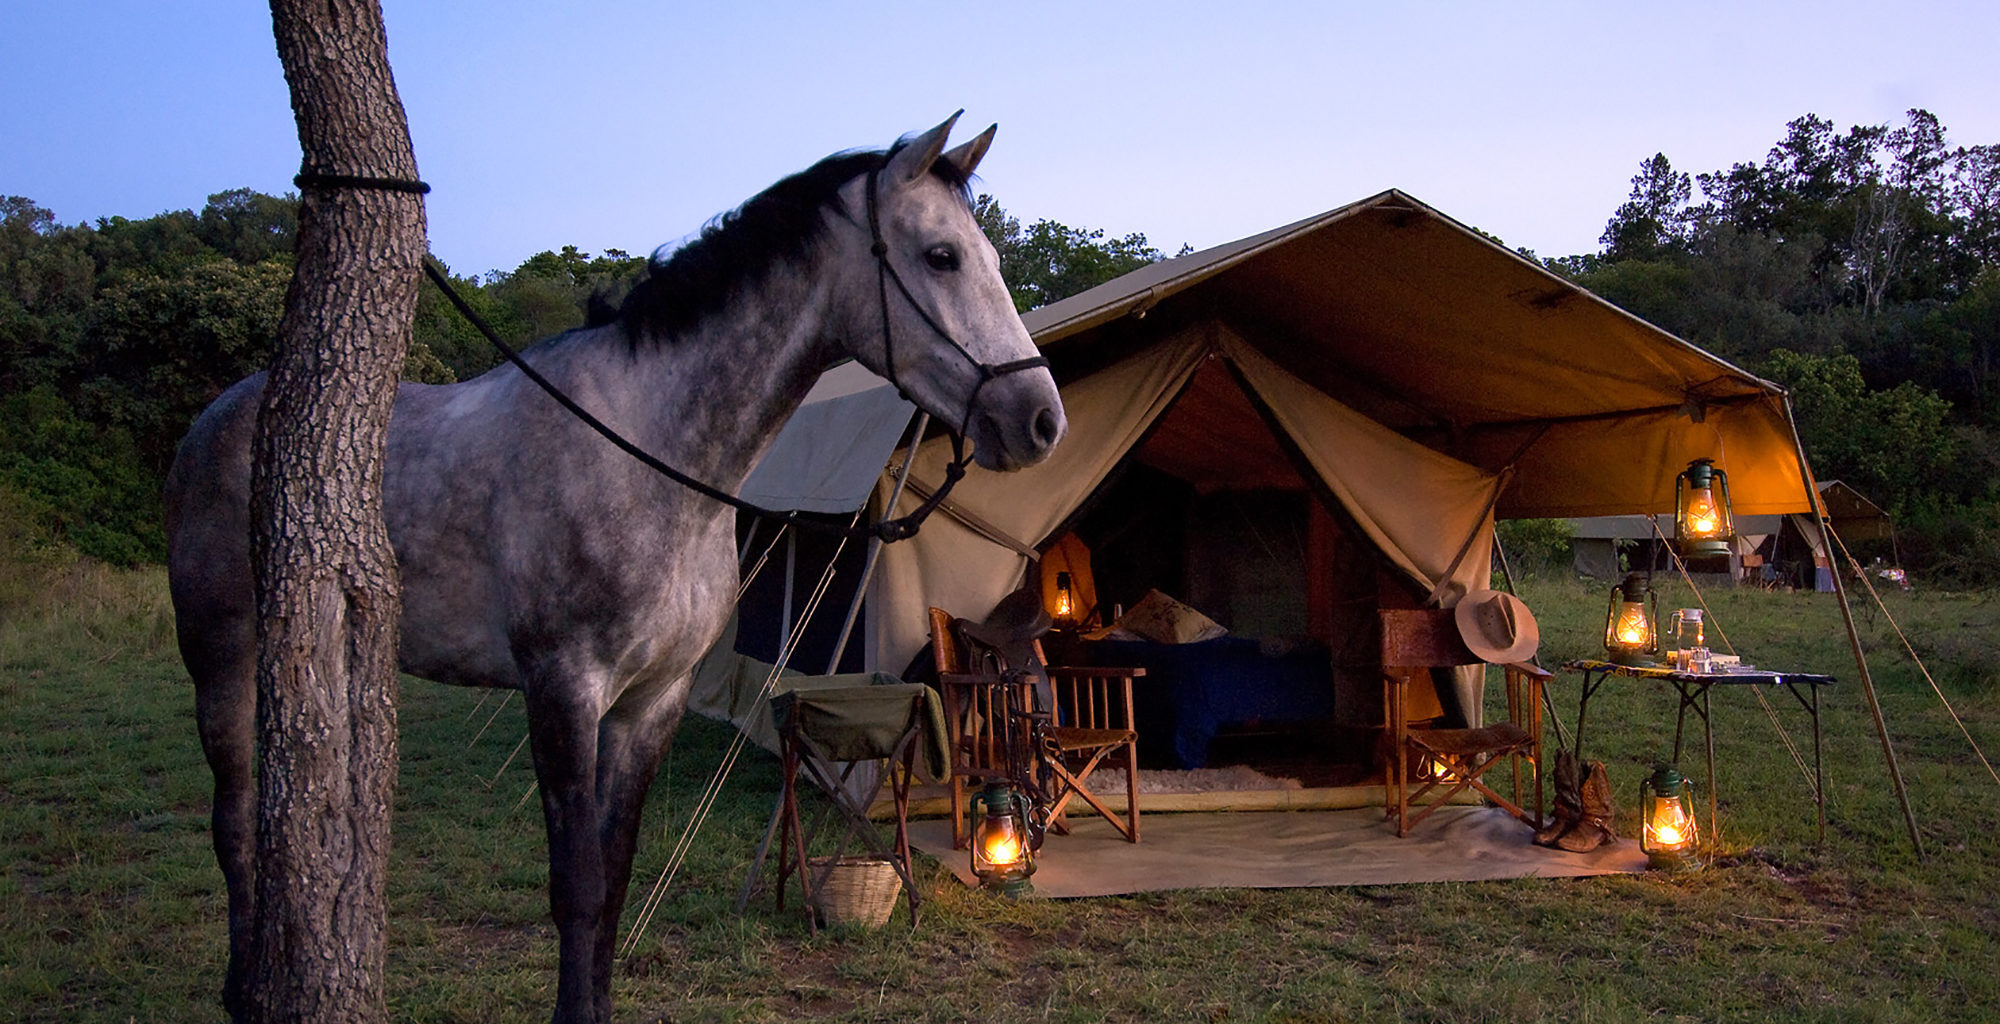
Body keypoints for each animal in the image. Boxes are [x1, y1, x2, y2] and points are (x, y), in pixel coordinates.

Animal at [164, 114, 1064, 1024]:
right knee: (232, 817)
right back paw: (243, 986)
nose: (1040, 421)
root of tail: (220, 417)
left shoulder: (649, 703)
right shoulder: (565, 690)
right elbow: (577, 889)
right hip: (220, 654)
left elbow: (616, 881)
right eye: (941, 256)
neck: (651, 452)